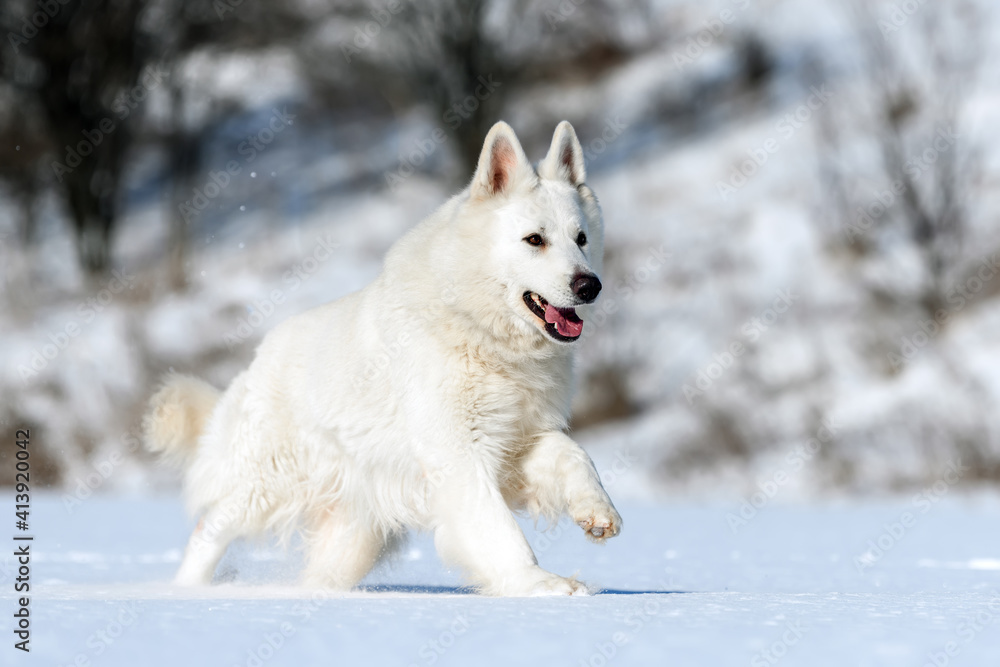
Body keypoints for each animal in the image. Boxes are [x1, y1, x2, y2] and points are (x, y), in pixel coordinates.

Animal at [145, 122, 620, 596]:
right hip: (264, 488)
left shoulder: (515, 443)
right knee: (208, 529)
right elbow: (498, 530)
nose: (590, 286)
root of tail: (255, 362)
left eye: (581, 239)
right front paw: (540, 584)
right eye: (534, 240)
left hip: (353, 536)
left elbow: (573, 454)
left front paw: (597, 509)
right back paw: (185, 591)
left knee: (318, 573)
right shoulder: (458, 455)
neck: (479, 330)